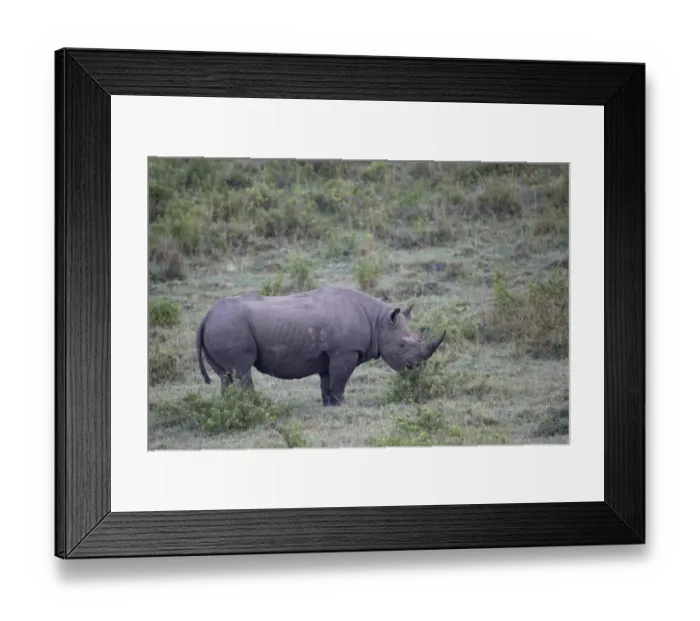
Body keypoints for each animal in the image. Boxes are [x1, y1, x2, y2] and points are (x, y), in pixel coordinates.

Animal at [196, 285, 446, 406]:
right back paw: (253, 406)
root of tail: (206, 316)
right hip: (229, 326)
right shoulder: (345, 351)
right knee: (241, 369)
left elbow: (328, 380)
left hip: (219, 326)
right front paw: (342, 405)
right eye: (402, 345)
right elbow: (340, 380)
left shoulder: (330, 353)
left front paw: (328, 405)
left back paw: (232, 406)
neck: (379, 322)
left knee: (225, 375)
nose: (416, 370)